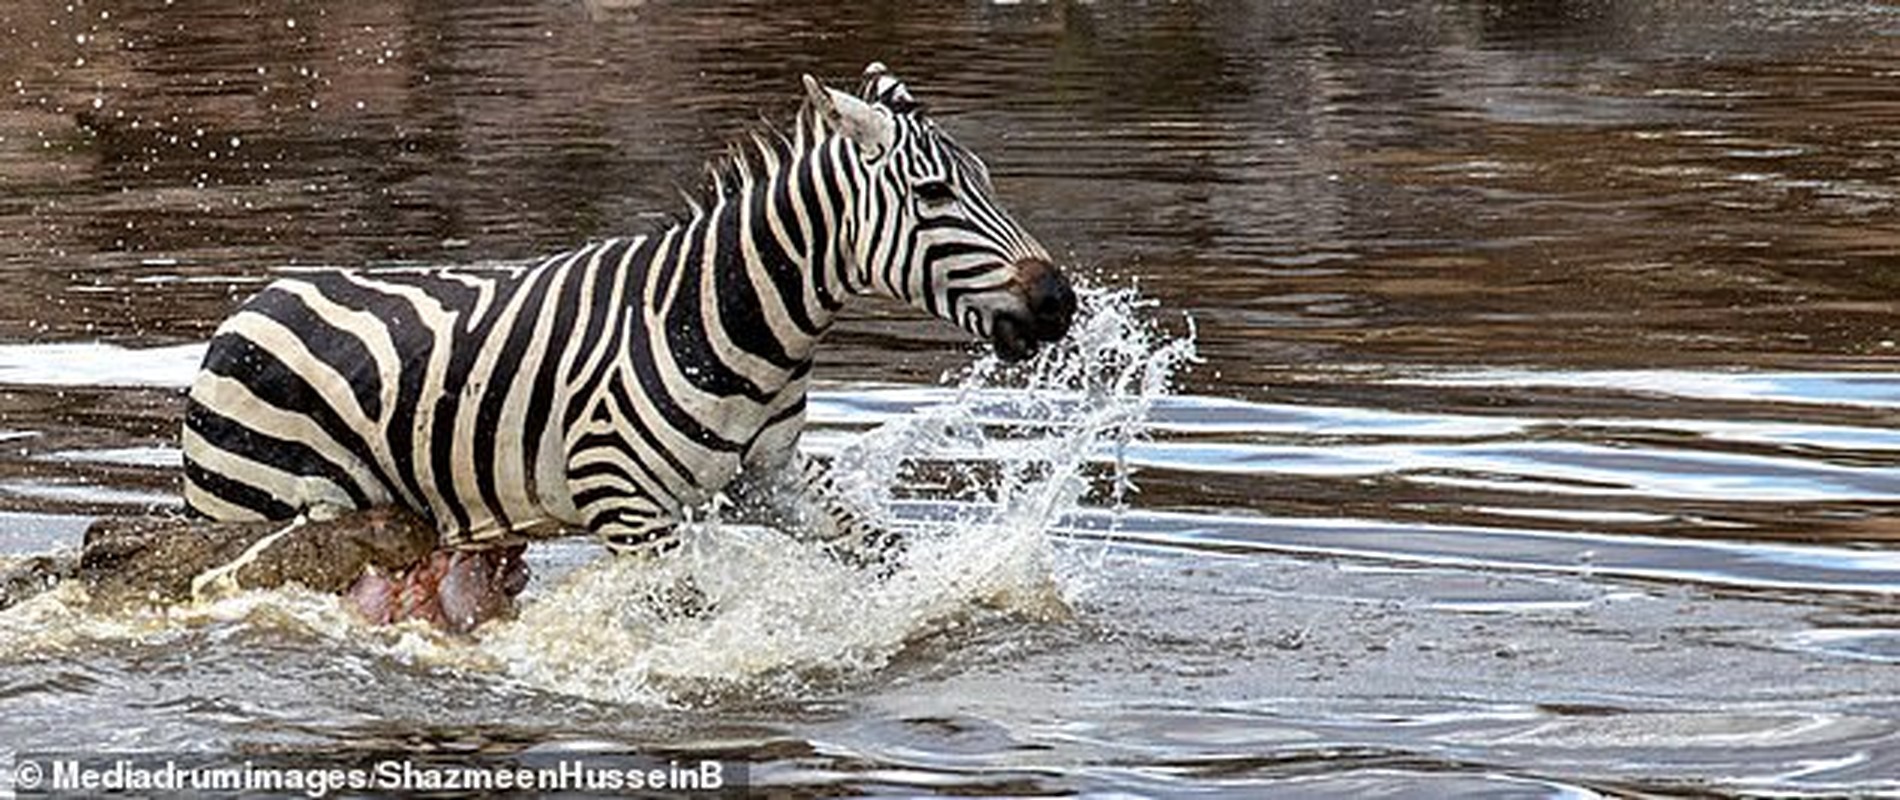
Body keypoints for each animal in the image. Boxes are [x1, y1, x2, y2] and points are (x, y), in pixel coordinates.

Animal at [183, 64, 1079, 573]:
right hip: (248, 502)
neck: (735, 323)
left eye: (985, 178)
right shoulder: (620, 496)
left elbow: (882, 551)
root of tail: (252, 304)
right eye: (933, 194)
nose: (1058, 301)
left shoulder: (771, 476)